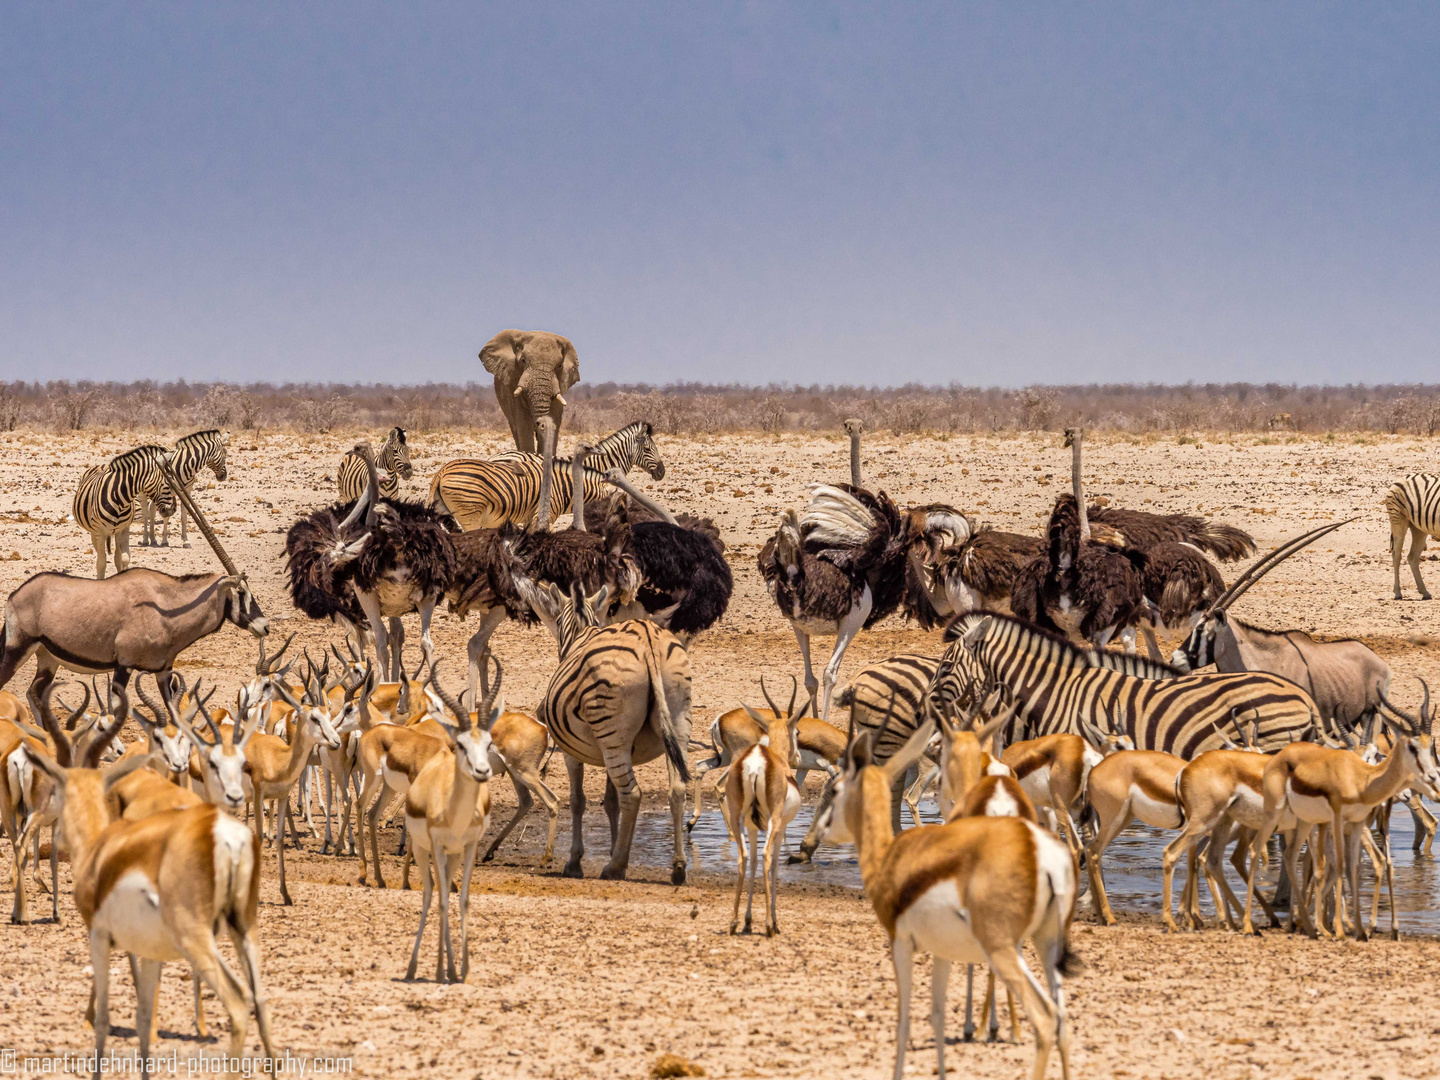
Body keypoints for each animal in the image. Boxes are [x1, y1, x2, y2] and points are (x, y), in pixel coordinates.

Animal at [71, 443, 177, 578]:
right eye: (168, 483)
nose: (172, 510)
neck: (119, 501)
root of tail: (103, 464)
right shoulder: (99, 532)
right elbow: (101, 563)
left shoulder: (124, 529)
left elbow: (124, 559)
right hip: (94, 532)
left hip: (116, 532)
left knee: (116, 556)